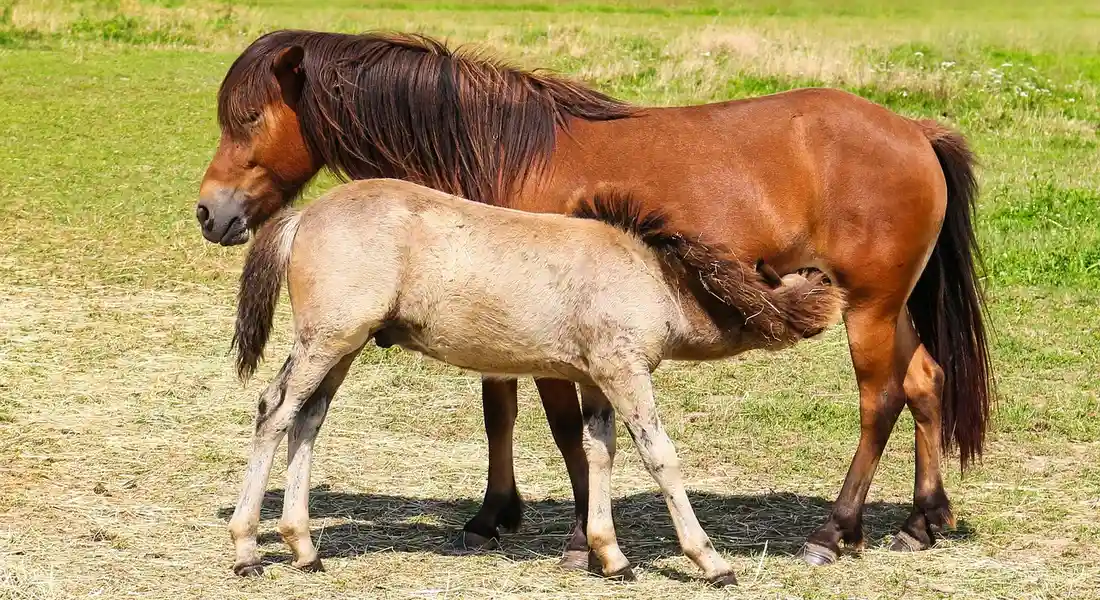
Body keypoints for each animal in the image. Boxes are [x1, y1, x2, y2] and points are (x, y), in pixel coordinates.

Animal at [227, 177, 846, 584]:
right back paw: (248, 550)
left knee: (307, 421)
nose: (836, 288)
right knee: (274, 412)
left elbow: (598, 453)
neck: (652, 276)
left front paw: (610, 556)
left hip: (343, 347)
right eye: (800, 279)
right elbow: (660, 457)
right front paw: (711, 561)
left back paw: (304, 547)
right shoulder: (625, 372)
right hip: (326, 340)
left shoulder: (596, 379)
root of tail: (304, 215)